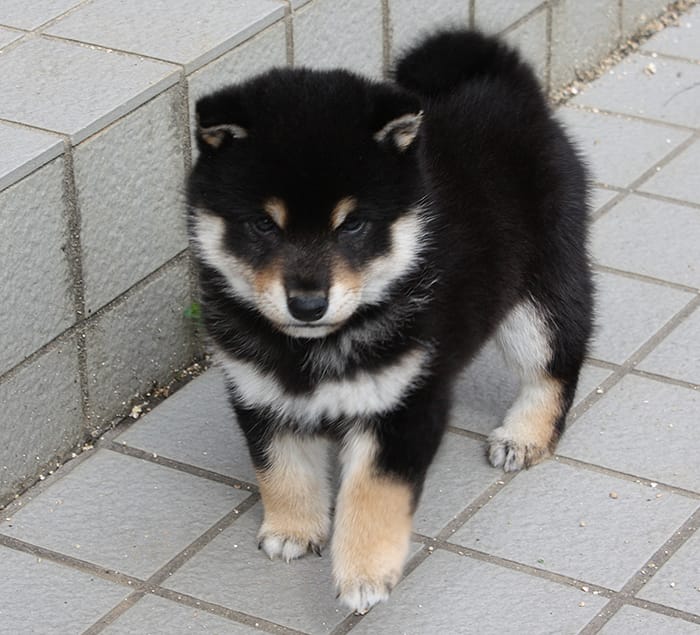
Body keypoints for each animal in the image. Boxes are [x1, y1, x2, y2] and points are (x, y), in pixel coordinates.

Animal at [185, 31, 592, 616]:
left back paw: (525, 435)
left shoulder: (405, 402)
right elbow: (281, 468)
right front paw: (293, 527)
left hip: (538, 293)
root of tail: (507, 86)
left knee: (556, 359)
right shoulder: (261, 391)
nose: (307, 304)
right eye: (263, 224)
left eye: (352, 225)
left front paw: (364, 574)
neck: (314, 347)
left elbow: (373, 493)